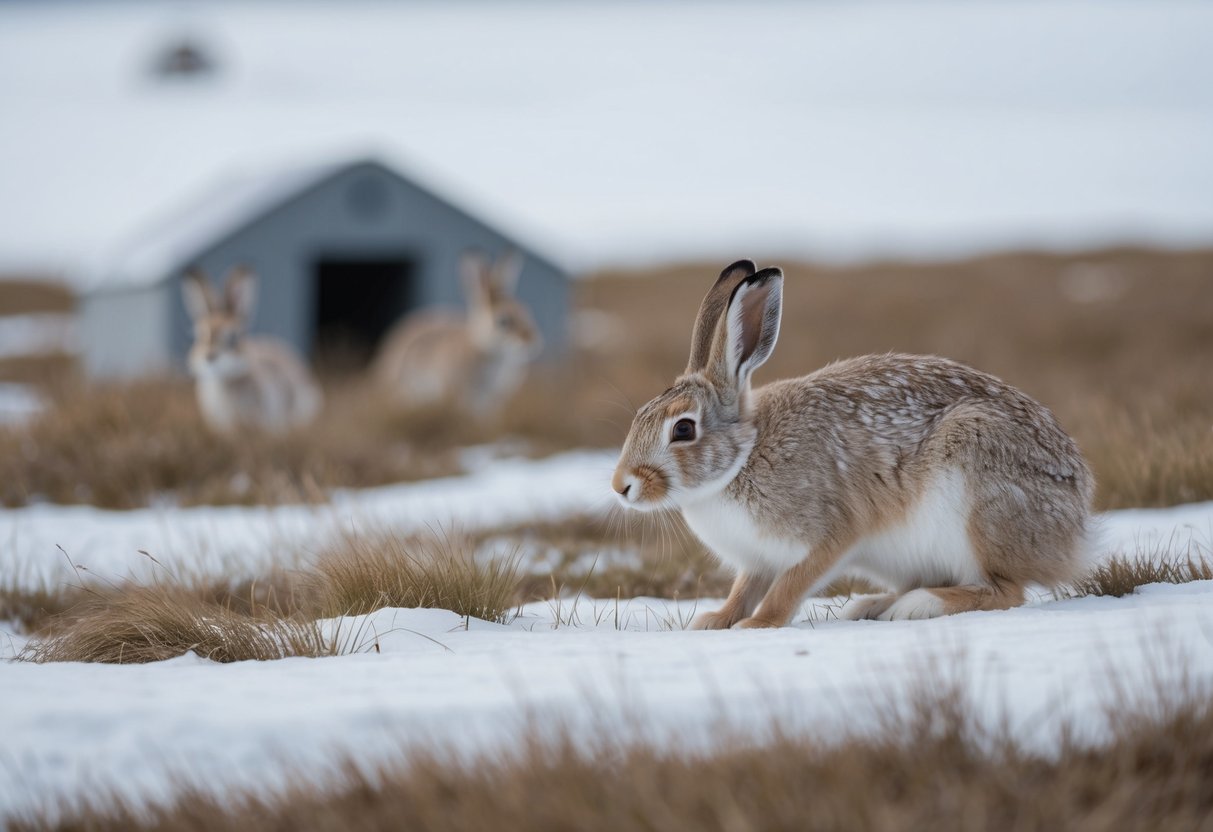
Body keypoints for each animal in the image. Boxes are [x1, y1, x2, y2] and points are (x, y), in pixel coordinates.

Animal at [611, 260, 1093, 629]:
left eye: (683, 430)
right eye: (639, 418)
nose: (621, 487)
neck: (744, 456)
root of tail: (1075, 522)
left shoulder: (832, 532)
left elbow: (790, 585)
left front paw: (759, 625)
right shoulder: (757, 560)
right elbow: (744, 589)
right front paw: (715, 621)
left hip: (979, 496)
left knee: (1006, 590)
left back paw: (917, 605)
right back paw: (874, 605)